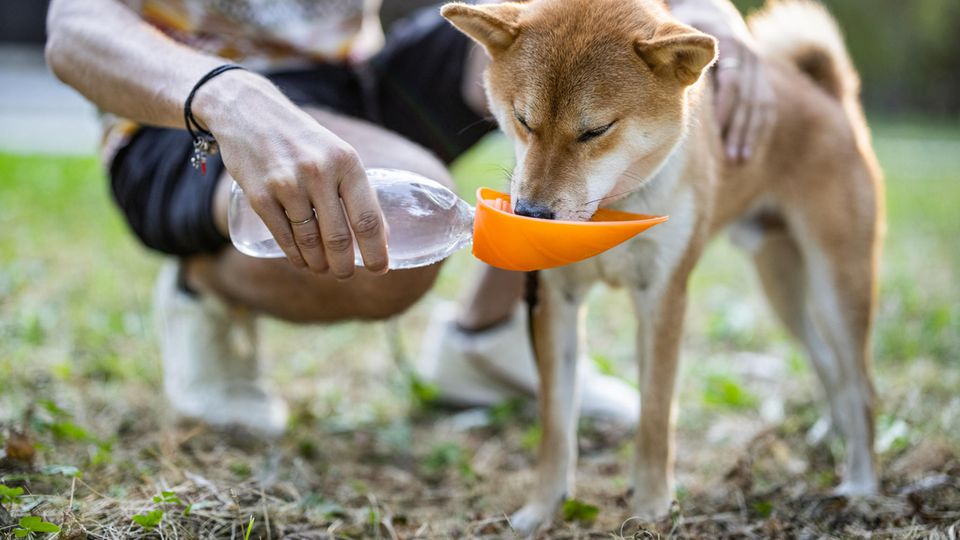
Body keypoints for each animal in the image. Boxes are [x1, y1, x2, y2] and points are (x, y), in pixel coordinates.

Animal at [442, 0, 884, 532]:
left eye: (595, 130)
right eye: (523, 120)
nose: (529, 215)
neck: (611, 208)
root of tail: (826, 95)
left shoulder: (662, 298)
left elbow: (655, 416)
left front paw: (652, 508)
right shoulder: (556, 299)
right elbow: (556, 423)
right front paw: (542, 510)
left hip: (837, 283)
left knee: (861, 385)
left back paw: (860, 484)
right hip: (782, 285)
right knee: (826, 361)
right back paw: (833, 436)